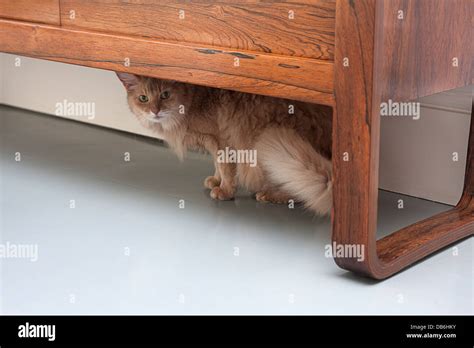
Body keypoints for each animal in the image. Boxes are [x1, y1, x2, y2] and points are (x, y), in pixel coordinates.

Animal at [117, 71, 334, 215]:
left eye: (165, 95)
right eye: (143, 98)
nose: (155, 111)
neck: (194, 101)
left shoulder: (222, 141)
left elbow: (226, 169)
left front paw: (225, 191)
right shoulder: (213, 142)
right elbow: (217, 166)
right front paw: (215, 180)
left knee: (301, 194)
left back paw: (269, 195)